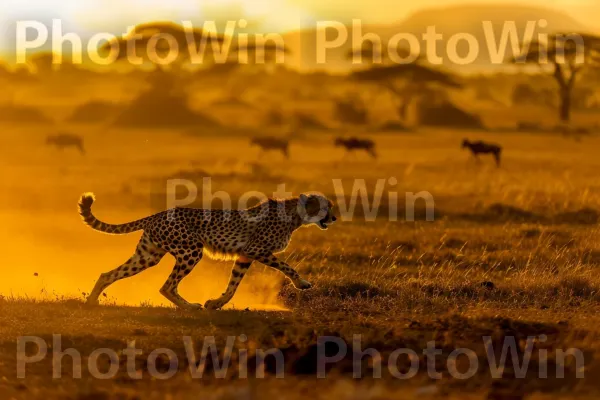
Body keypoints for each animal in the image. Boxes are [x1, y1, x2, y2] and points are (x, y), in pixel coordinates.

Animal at [77, 192, 336, 310]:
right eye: (326, 207)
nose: (334, 217)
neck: (295, 215)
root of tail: (157, 214)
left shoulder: (244, 255)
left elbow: (234, 284)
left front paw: (217, 303)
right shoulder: (257, 249)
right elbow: (286, 267)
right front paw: (302, 283)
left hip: (147, 256)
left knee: (108, 274)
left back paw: (91, 301)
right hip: (191, 252)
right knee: (166, 286)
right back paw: (189, 306)